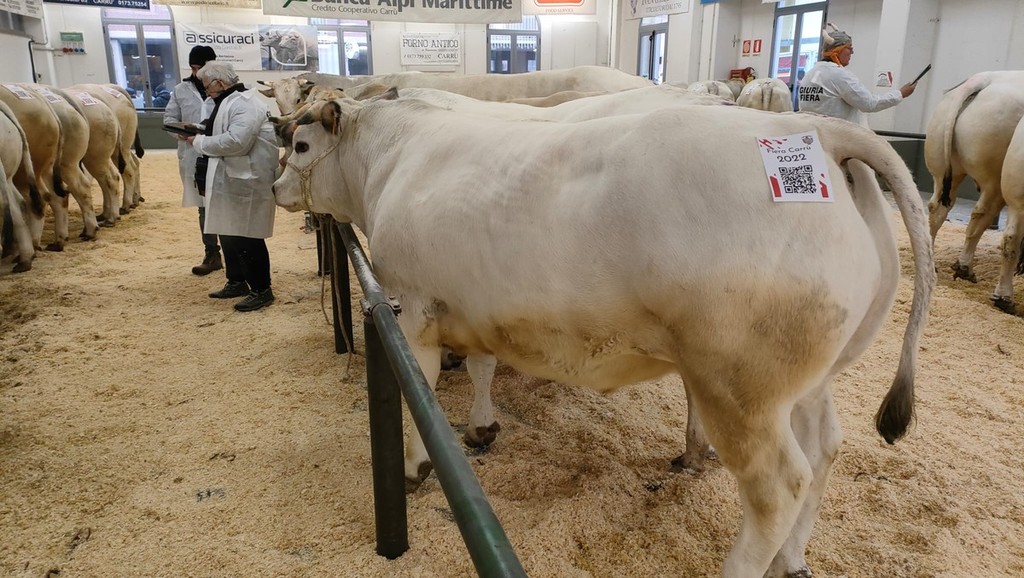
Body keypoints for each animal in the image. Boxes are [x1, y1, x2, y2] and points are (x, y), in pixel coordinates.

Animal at [274, 95, 937, 578]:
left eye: (300, 144)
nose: (279, 189)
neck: (392, 159)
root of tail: (816, 128)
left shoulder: (411, 308)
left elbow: (425, 393)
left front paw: (415, 466)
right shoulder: (477, 306)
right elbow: (483, 366)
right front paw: (483, 427)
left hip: (738, 386)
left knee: (780, 485)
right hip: (808, 377)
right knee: (824, 448)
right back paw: (792, 559)